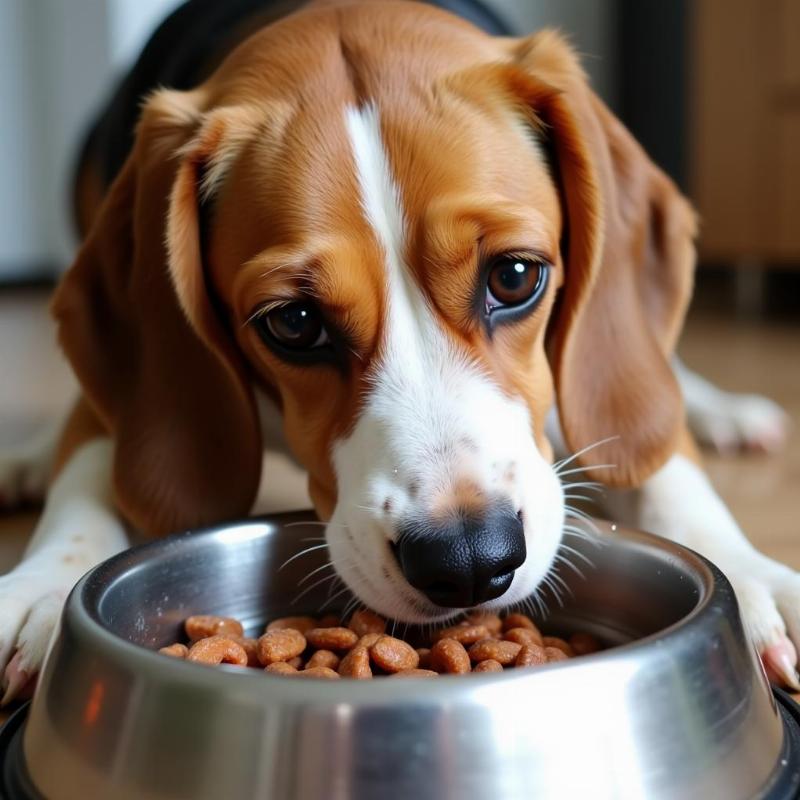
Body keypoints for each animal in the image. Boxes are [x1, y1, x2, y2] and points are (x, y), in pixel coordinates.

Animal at [0, 0, 792, 704]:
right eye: (293, 323)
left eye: (515, 276)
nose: (469, 563)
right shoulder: (125, 418)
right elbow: (86, 484)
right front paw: (41, 589)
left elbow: (664, 470)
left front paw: (750, 578)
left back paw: (725, 411)